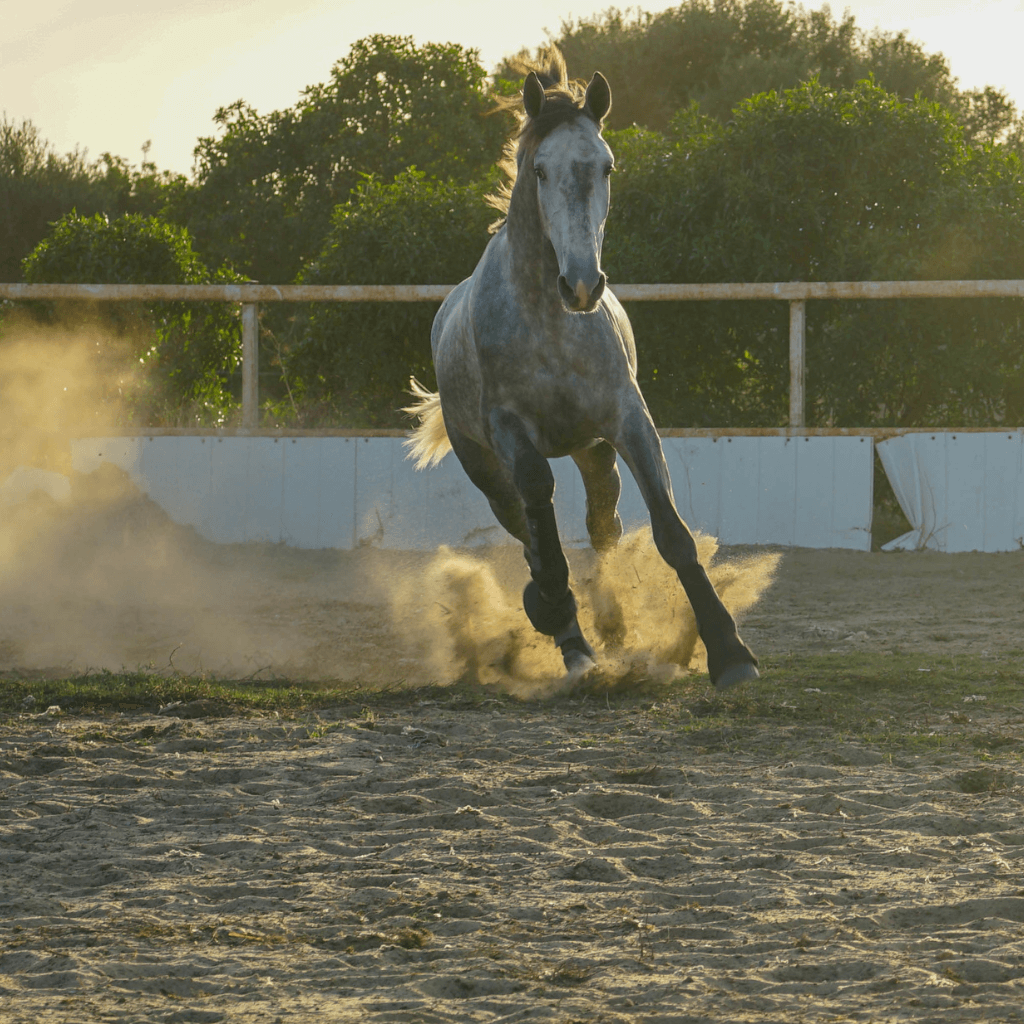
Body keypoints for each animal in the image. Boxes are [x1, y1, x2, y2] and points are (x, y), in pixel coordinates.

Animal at [406, 51, 759, 690]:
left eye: (606, 166)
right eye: (541, 171)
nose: (582, 285)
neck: (550, 323)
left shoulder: (627, 419)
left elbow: (671, 535)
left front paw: (729, 652)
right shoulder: (511, 436)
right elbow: (544, 535)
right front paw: (558, 621)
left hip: (594, 453)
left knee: (603, 526)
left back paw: (612, 626)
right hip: (487, 470)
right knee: (529, 533)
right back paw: (570, 637)